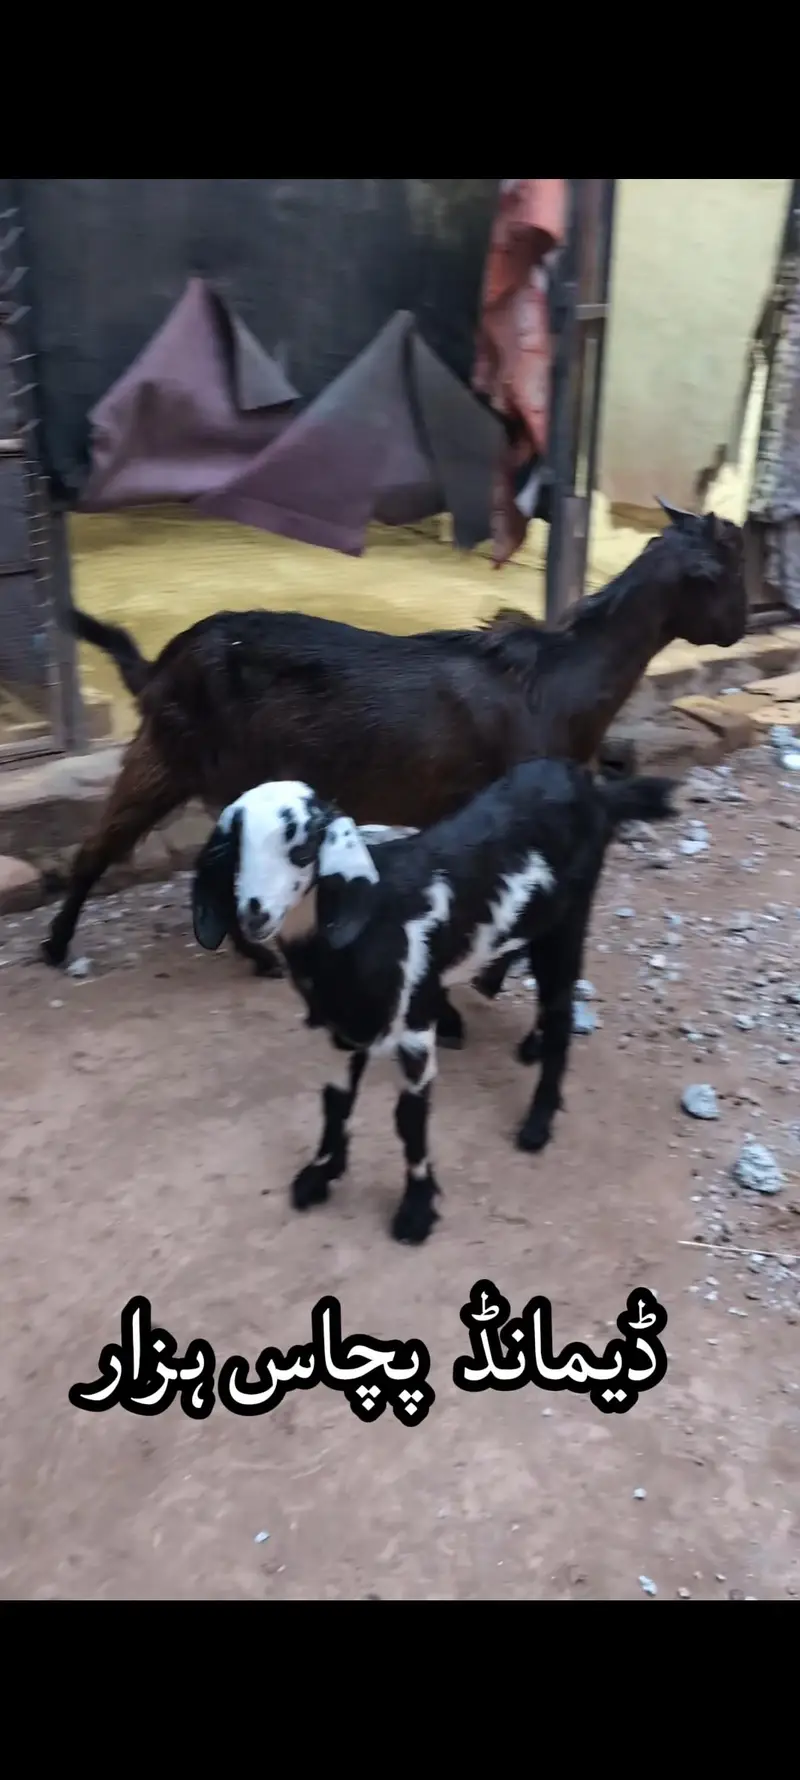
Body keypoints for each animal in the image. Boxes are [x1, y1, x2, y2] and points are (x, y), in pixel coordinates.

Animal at [44, 499, 743, 1056]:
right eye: (726, 570)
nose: (742, 624)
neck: (557, 682)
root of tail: (161, 664)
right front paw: (467, 1000)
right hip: (179, 758)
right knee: (106, 848)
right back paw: (60, 948)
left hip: (186, 767)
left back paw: (241, 954)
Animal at [190, 762, 678, 1244]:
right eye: (233, 847)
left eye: (304, 847)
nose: (255, 914)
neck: (368, 928)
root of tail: (592, 788)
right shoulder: (340, 1028)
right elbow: (335, 1102)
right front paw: (319, 1175)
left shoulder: (414, 1031)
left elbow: (409, 1120)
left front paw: (415, 1211)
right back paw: (529, 1041)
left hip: (568, 921)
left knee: (560, 1010)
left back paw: (537, 1122)